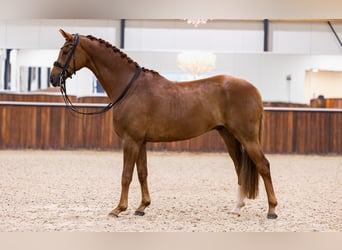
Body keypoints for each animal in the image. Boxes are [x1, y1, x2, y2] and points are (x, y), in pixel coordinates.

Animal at [48, 29, 278, 219]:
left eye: (66, 50)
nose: (53, 78)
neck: (130, 88)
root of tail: (254, 90)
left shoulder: (130, 141)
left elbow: (126, 175)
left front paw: (118, 209)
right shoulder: (140, 141)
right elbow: (142, 174)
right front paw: (142, 207)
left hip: (247, 137)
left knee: (263, 166)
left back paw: (272, 210)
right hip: (229, 135)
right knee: (240, 168)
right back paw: (237, 208)